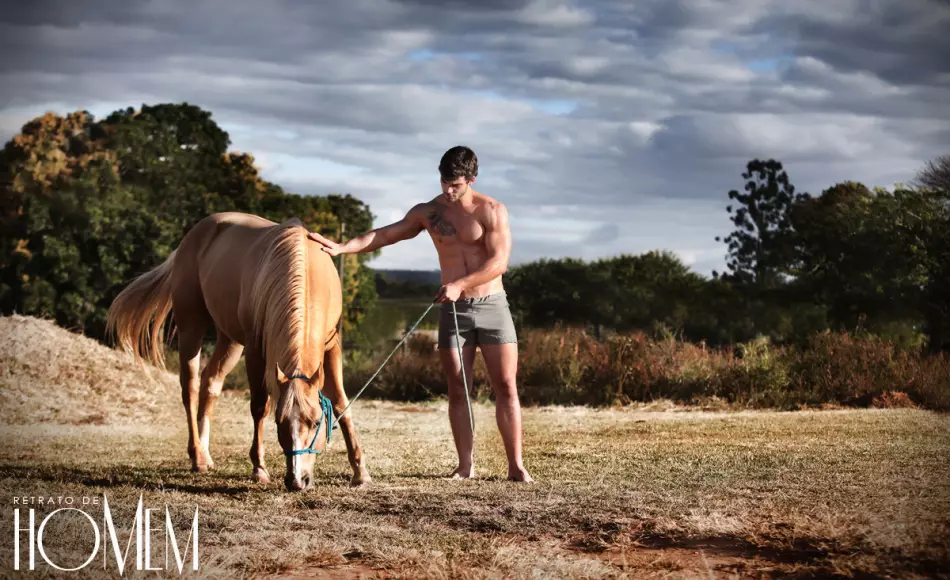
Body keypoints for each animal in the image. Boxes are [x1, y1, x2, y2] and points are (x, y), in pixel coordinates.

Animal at [106, 211, 370, 492]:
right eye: (280, 422)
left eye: (316, 422)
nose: (297, 481)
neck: (306, 271)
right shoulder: (255, 350)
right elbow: (259, 407)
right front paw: (259, 469)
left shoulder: (331, 347)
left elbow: (342, 403)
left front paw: (360, 473)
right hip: (192, 327)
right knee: (190, 388)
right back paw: (198, 457)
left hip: (230, 340)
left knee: (210, 382)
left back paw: (206, 453)